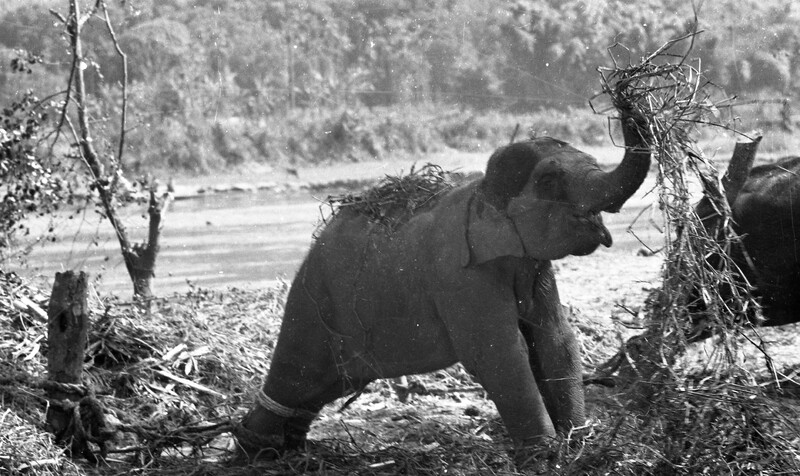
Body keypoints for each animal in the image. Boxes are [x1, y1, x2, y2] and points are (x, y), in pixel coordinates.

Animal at [234, 114, 652, 461]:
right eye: (550, 181)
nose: (625, 96)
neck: (483, 191)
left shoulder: (534, 267)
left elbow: (556, 339)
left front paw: (579, 445)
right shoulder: (458, 275)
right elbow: (500, 351)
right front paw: (544, 455)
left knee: (321, 385)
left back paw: (277, 447)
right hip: (314, 297)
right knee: (297, 370)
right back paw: (255, 448)